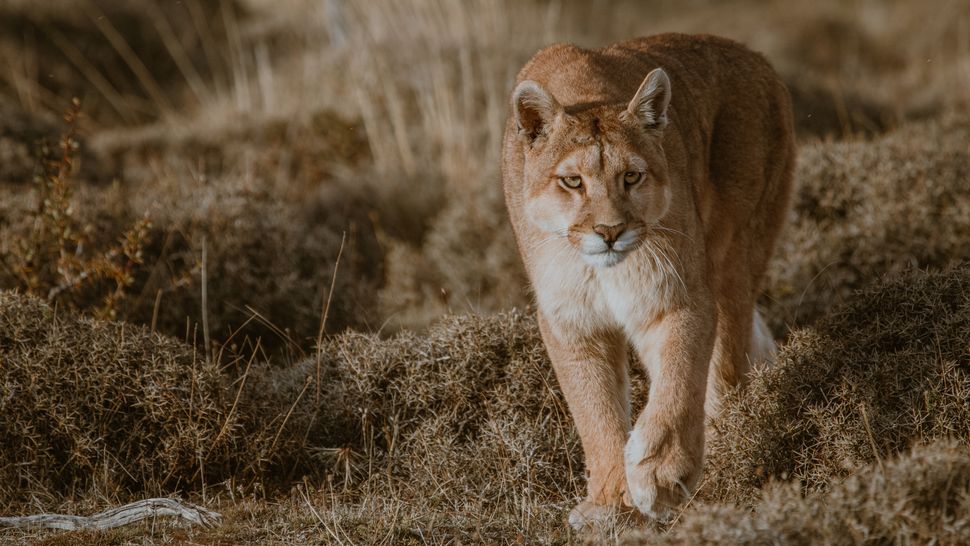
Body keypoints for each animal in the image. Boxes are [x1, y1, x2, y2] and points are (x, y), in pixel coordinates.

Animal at [501, 33, 795, 527]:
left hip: (734, 257)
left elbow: (679, 377)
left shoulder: (677, 297)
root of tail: (757, 58)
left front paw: (660, 473)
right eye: (572, 181)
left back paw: (722, 458)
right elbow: (595, 409)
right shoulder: (572, 321)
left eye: (632, 176)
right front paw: (608, 503)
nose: (609, 232)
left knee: (725, 368)